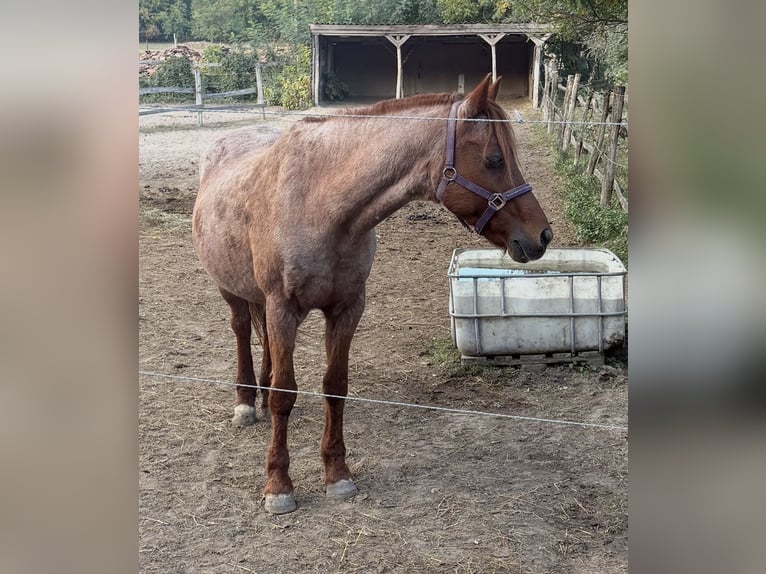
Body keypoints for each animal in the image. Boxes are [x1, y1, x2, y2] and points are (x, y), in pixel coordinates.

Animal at [191, 74, 552, 514]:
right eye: (495, 159)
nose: (542, 235)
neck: (320, 205)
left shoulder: (347, 309)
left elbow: (335, 387)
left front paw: (337, 474)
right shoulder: (283, 308)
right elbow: (284, 394)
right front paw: (278, 485)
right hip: (231, 290)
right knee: (242, 330)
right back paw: (246, 401)